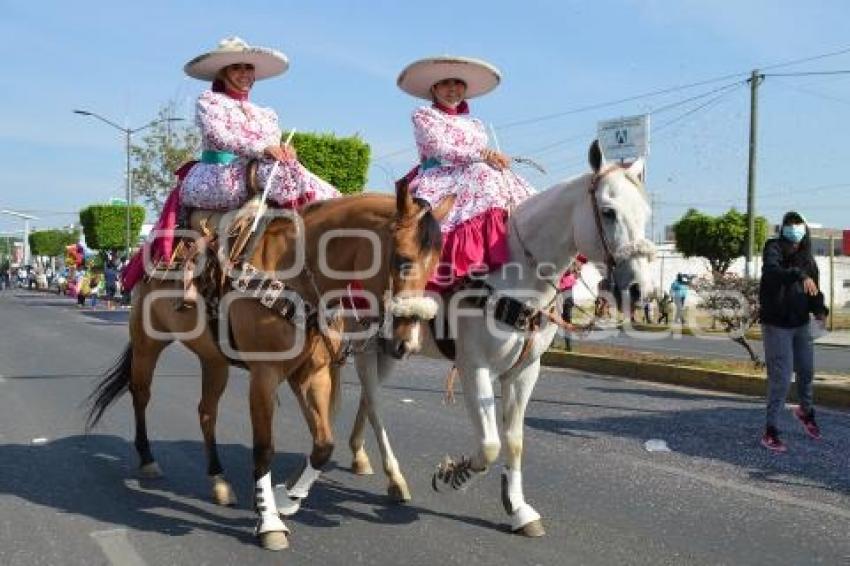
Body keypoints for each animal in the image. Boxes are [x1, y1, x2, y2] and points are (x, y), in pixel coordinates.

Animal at [86, 185, 448, 552]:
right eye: (403, 260)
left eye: (436, 264)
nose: (407, 343)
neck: (296, 275)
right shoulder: (265, 375)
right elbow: (264, 449)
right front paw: (269, 522)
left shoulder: (313, 374)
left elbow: (323, 445)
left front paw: (287, 498)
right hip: (148, 343)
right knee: (141, 394)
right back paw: (148, 459)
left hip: (214, 361)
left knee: (207, 413)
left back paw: (218, 480)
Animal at [274, 141, 652, 536]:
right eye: (608, 212)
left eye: (646, 212)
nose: (639, 289)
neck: (516, 276)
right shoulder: (474, 367)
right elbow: (489, 444)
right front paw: (453, 475)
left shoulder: (526, 371)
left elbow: (514, 440)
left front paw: (518, 507)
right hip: (365, 344)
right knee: (373, 402)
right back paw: (392, 477)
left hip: (392, 349)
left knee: (367, 396)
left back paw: (360, 455)